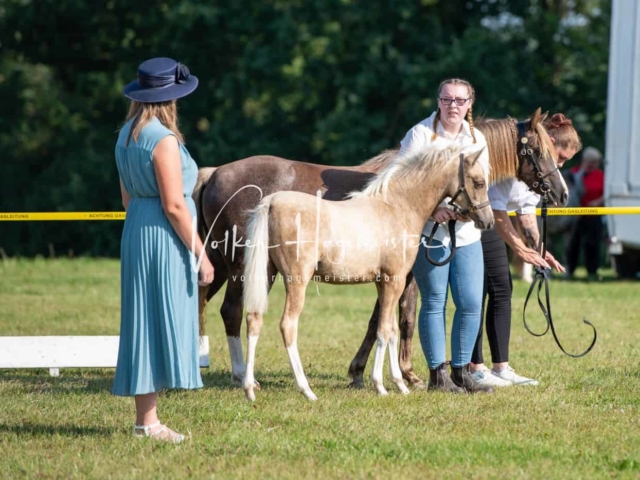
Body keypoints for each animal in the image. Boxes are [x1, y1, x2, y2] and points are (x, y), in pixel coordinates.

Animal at [198, 108, 568, 386]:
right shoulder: (406, 274)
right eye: (537, 151)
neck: (399, 197)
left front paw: (364, 372)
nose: (561, 193)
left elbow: (383, 319)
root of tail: (214, 173)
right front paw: (403, 374)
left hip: (219, 264)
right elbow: (402, 318)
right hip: (243, 268)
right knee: (231, 311)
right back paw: (241, 375)